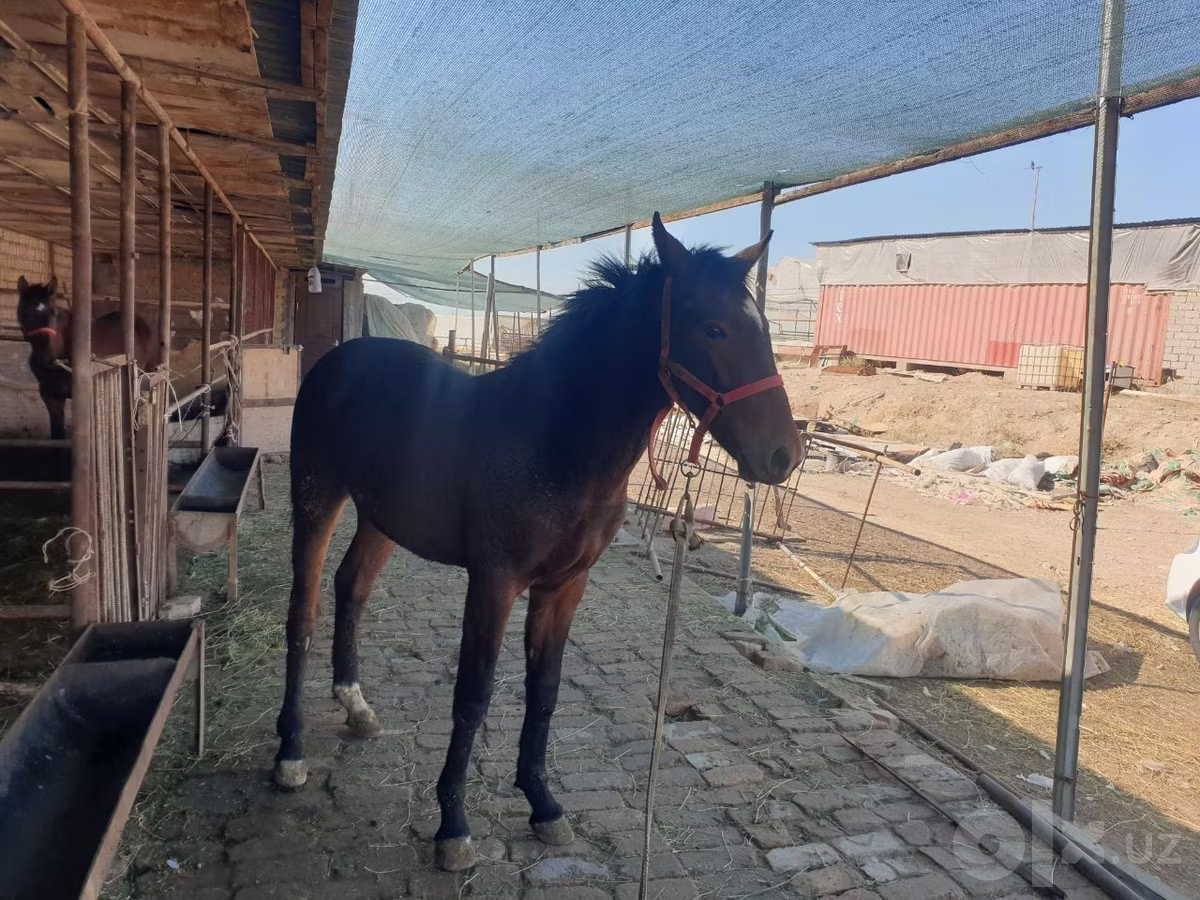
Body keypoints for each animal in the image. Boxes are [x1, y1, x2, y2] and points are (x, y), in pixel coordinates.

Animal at [273, 214, 802, 871]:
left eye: (763, 328)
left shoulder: (564, 587)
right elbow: (473, 695)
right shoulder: (494, 582)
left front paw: (543, 804)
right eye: (713, 327)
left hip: (380, 517)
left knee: (352, 587)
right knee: (302, 613)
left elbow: (544, 690)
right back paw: (290, 752)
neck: (556, 441)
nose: (784, 456)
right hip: (316, 501)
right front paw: (453, 825)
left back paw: (356, 705)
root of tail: (339, 360)